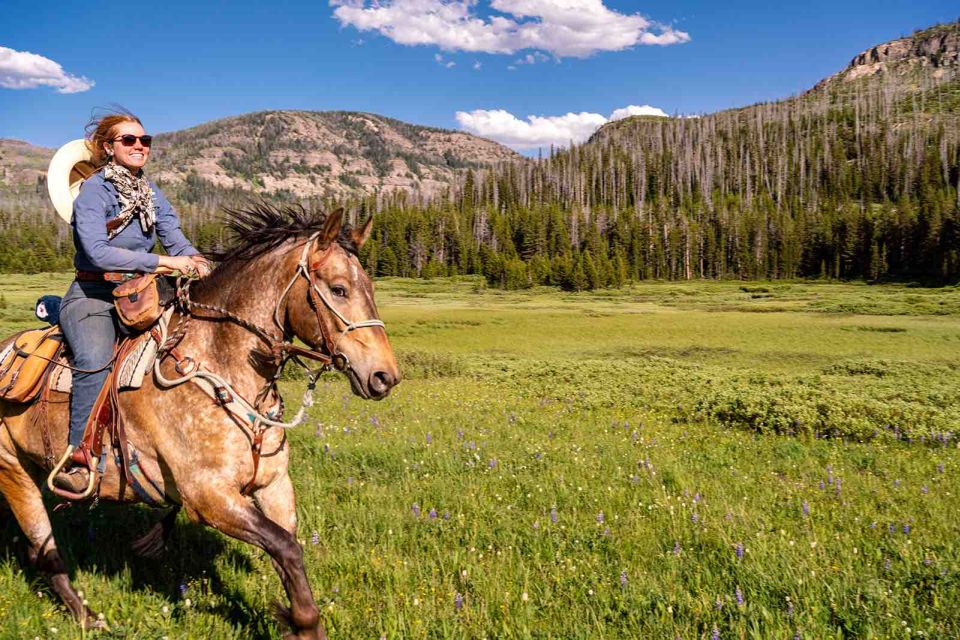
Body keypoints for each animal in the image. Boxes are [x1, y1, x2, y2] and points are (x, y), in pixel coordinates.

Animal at [0, 206, 402, 640]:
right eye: (339, 289)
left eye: (371, 288)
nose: (385, 376)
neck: (220, 365)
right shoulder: (210, 497)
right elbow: (284, 546)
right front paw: (300, 623)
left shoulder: (274, 486)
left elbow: (288, 551)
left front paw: (299, 620)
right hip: (13, 470)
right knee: (44, 549)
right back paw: (89, 618)